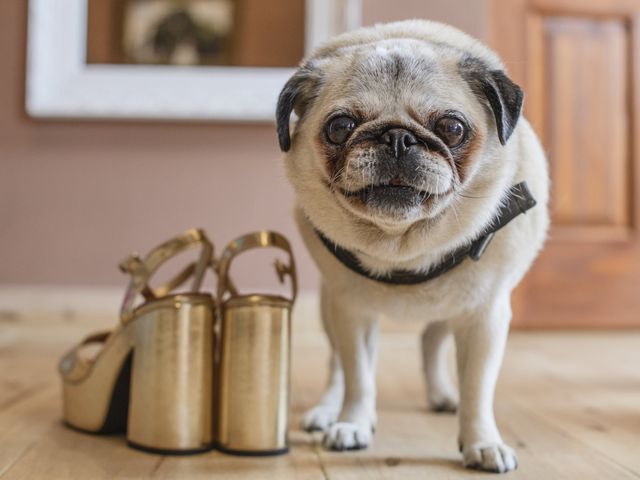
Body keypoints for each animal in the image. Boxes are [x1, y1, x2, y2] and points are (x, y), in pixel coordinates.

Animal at [276, 19, 552, 472]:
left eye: (452, 129)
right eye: (339, 127)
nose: (398, 138)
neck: (403, 246)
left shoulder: (485, 317)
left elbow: (478, 389)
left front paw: (482, 441)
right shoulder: (351, 311)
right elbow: (358, 375)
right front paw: (353, 423)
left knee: (430, 340)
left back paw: (442, 395)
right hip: (331, 306)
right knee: (338, 363)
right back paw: (328, 410)